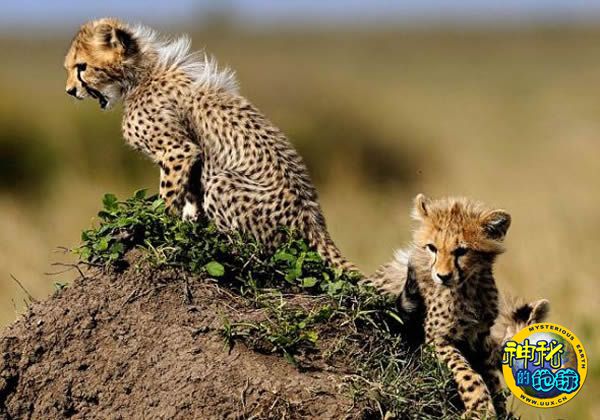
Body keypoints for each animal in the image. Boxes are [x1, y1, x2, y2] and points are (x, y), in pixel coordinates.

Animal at [64, 18, 355, 272]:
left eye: (82, 67)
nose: (69, 91)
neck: (141, 74)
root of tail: (316, 222)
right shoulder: (190, 163)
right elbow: (190, 199)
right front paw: (187, 226)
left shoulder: (178, 151)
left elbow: (167, 198)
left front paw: (157, 228)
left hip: (224, 183)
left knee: (257, 250)